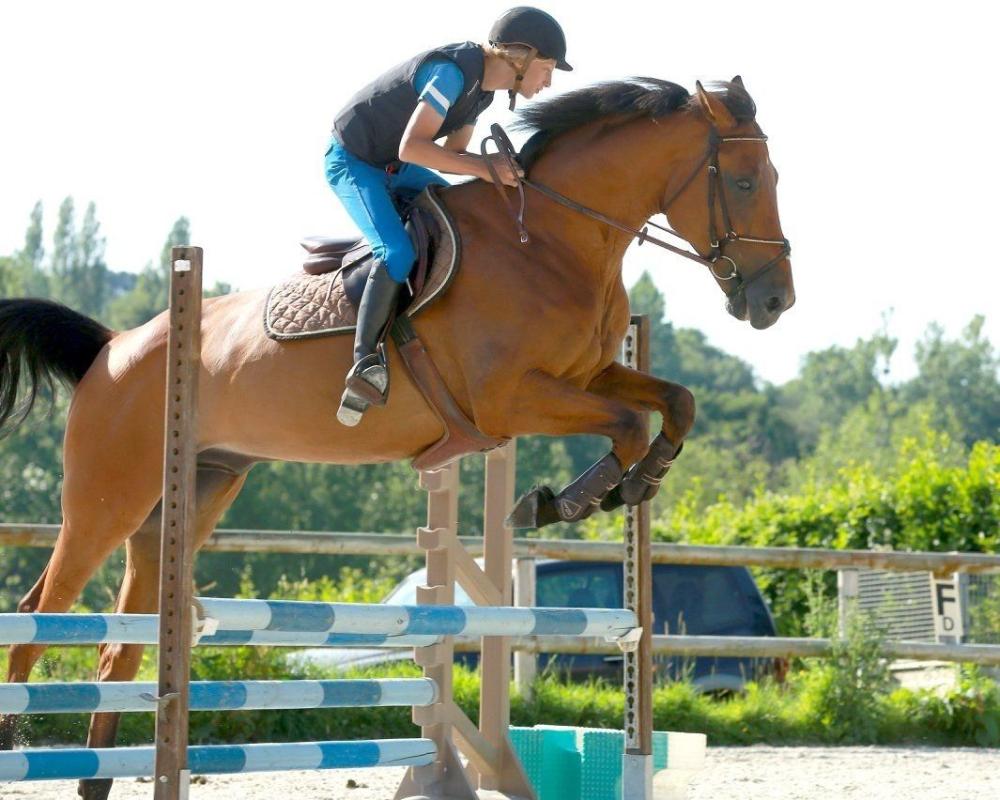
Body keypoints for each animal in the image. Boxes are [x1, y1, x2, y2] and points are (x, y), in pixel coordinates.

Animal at [0, 77, 793, 799]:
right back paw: (18, 744)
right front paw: (563, 501)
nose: (775, 300)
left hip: (189, 495)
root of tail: (112, 347)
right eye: (745, 179)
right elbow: (628, 423)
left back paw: (97, 780)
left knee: (118, 646)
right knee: (43, 611)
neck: (552, 241)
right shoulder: (510, 399)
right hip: (109, 496)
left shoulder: (589, 376)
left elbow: (676, 404)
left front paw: (634, 483)